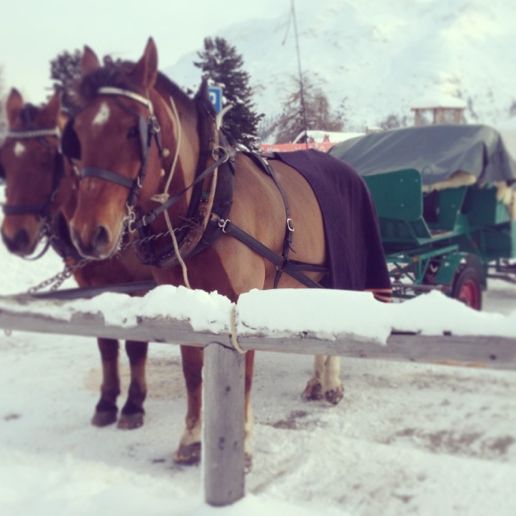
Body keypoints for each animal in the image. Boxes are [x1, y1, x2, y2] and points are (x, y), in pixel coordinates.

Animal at [0, 87, 155, 428]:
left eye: (47, 157)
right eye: (5, 159)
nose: (14, 237)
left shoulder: (139, 285)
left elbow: (136, 343)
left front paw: (134, 404)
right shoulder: (90, 283)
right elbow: (105, 341)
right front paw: (107, 401)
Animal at [67, 38, 392, 466]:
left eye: (131, 131)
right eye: (77, 134)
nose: (88, 234)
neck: (209, 205)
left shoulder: (241, 300)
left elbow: (245, 373)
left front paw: (245, 443)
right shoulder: (185, 301)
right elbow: (192, 370)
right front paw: (191, 438)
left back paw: (332, 383)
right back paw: (318, 381)